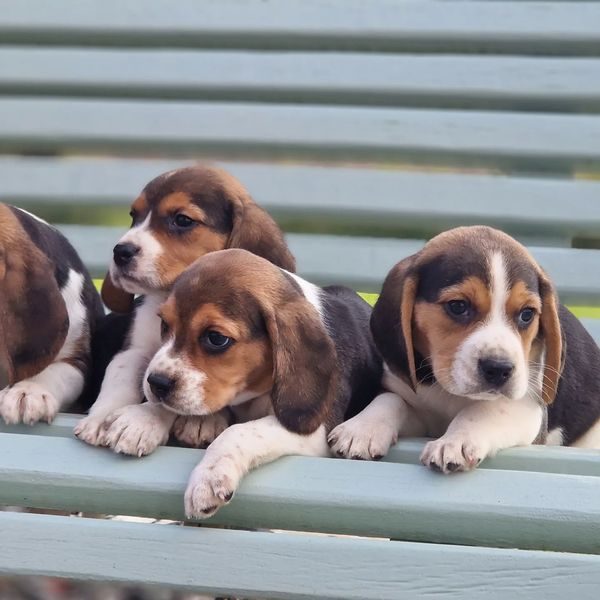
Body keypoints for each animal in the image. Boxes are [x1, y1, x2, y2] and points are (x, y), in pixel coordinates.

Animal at [74, 164, 296, 454]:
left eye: (182, 220)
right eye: (134, 216)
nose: (120, 251)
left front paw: (199, 421)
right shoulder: (135, 351)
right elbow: (119, 380)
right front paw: (101, 419)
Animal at [141, 248, 382, 516]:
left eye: (216, 338)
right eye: (164, 324)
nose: (156, 383)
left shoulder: (315, 429)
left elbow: (240, 431)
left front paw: (208, 478)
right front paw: (144, 418)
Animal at [330, 226, 600, 474]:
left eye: (527, 314)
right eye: (458, 306)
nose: (499, 369)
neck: (449, 392)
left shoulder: (529, 408)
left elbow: (485, 409)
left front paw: (454, 442)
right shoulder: (412, 401)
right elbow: (390, 399)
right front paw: (361, 429)